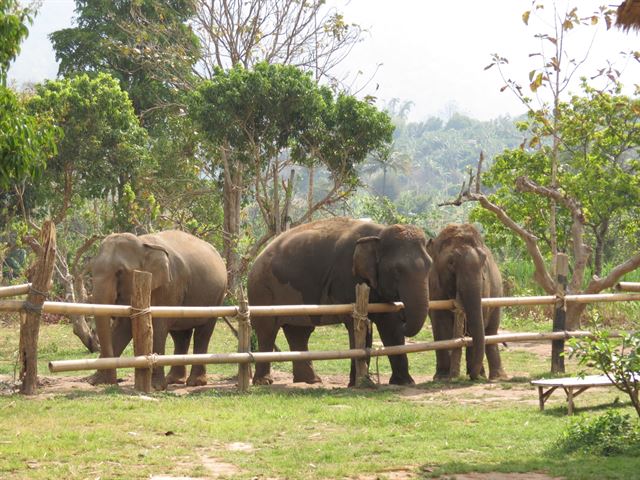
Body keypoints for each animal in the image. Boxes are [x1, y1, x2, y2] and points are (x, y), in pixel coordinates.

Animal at [90, 229, 228, 390]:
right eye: (91, 270)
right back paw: (174, 380)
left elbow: (158, 326)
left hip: (218, 296)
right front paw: (95, 381)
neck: (143, 244)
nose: (114, 382)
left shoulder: (170, 285)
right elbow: (122, 327)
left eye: (120, 271)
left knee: (203, 333)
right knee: (181, 335)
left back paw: (195, 383)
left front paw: (155, 387)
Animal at [248, 218, 432, 386]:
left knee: (299, 331)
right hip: (262, 291)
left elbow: (389, 323)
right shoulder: (346, 278)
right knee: (267, 330)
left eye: (430, 266)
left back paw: (311, 381)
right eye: (396, 270)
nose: (404, 315)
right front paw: (357, 383)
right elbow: (356, 323)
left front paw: (405, 382)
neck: (379, 232)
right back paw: (264, 382)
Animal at [428, 222, 508, 382]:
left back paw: (496, 377)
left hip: (498, 295)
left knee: (491, 330)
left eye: (483, 260)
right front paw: (442, 377)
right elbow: (440, 323)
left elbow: (478, 319)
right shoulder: (434, 286)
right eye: (451, 262)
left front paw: (475, 374)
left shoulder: (485, 285)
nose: (472, 375)